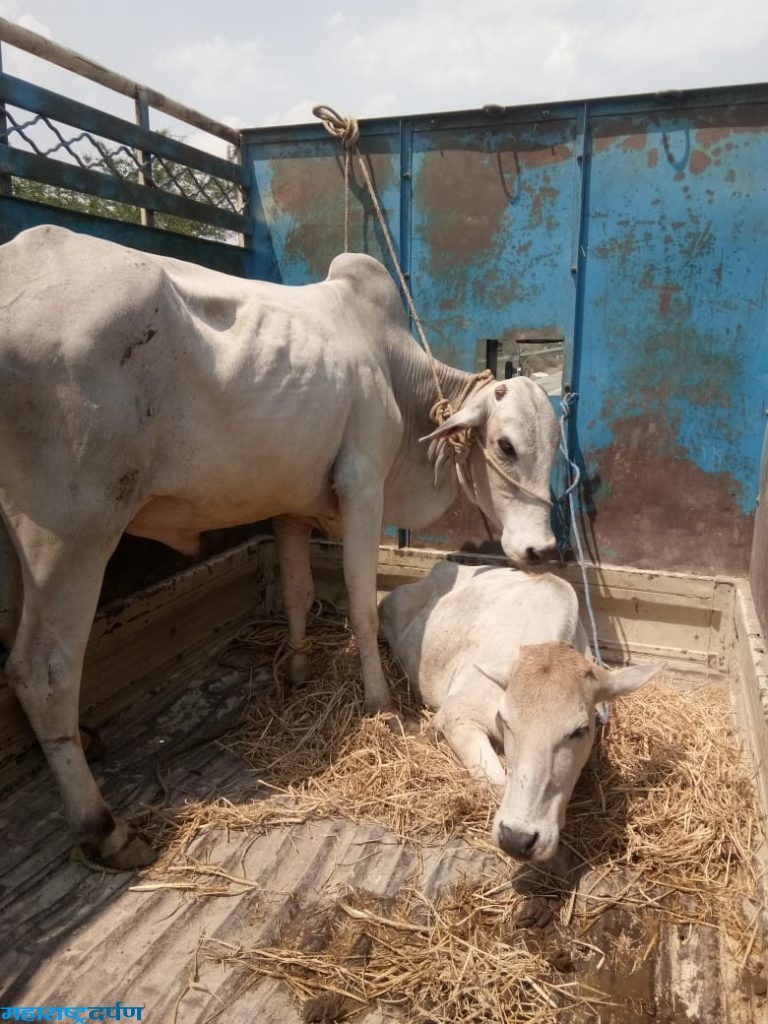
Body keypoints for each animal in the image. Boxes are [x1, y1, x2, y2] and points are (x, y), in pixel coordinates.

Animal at [1, 228, 565, 868]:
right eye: (505, 445)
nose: (543, 549)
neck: (396, 373)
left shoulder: (291, 508)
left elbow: (297, 591)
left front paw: (296, 669)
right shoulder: (362, 486)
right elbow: (360, 604)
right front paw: (379, 704)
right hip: (73, 532)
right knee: (41, 670)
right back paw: (104, 828)